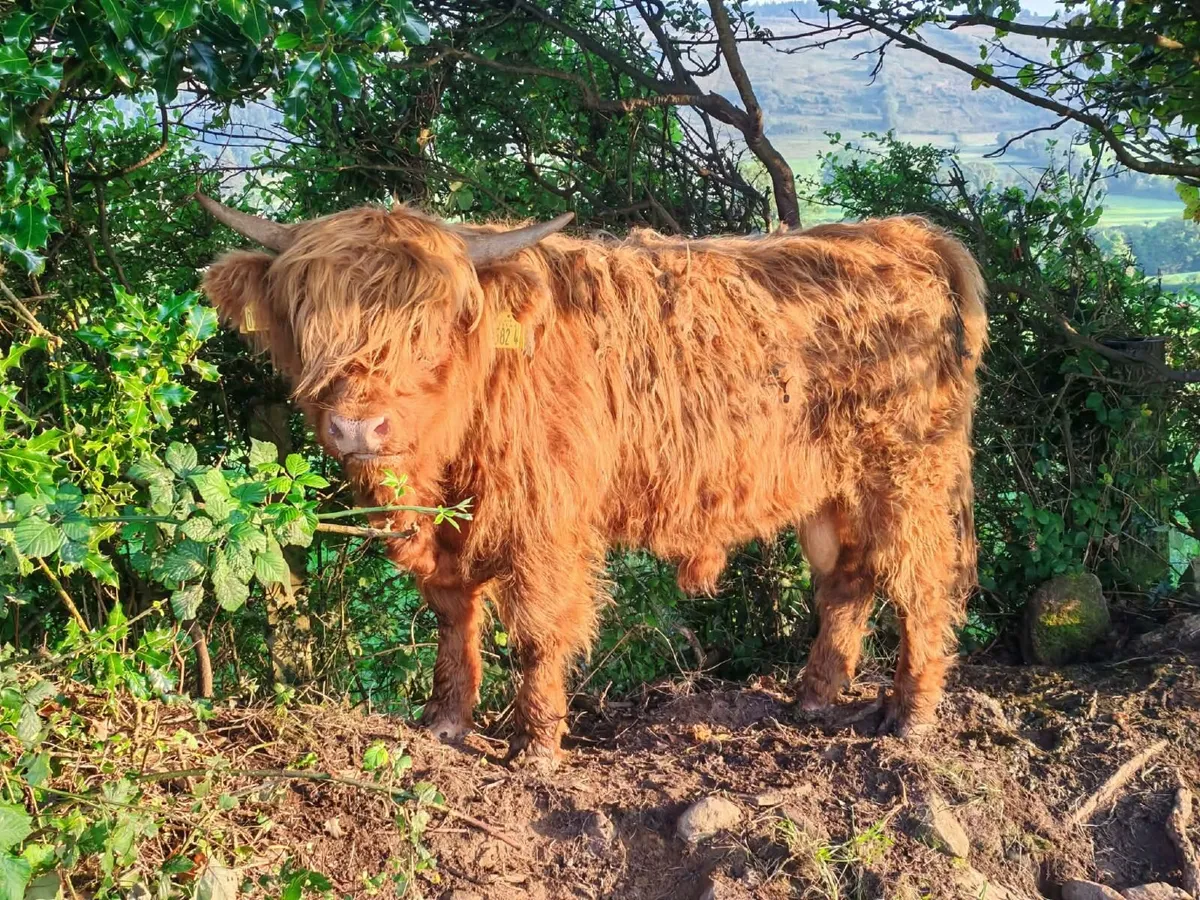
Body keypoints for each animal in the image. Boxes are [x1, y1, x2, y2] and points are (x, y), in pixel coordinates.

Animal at [197, 193, 987, 766]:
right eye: (311, 327)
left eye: (427, 330)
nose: (359, 428)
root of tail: (905, 235)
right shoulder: (450, 537)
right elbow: (454, 617)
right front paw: (445, 722)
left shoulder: (545, 522)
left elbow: (539, 629)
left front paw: (536, 746)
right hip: (832, 490)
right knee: (848, 578)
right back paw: (813, 700)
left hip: (907, 473)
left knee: (922, 581)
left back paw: (910, 718)